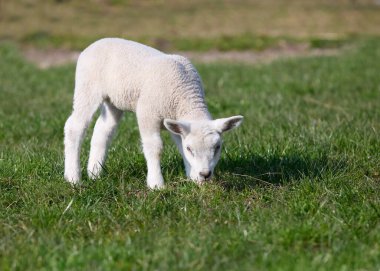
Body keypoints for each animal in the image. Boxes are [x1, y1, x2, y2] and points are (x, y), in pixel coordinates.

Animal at [64, 38, 243, 189]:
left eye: (218, 147)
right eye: (190, 148)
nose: (205, 174)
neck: (185, 97)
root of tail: (94, 44)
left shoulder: (176, 122)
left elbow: (179, 146)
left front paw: (193, 178)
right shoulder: (147, 112)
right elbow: (154, 147)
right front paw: (156, 184)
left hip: (113, 101)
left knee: (103, 130)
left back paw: (95, 174)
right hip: (87, 87)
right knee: (74, 127)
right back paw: (73, 178)